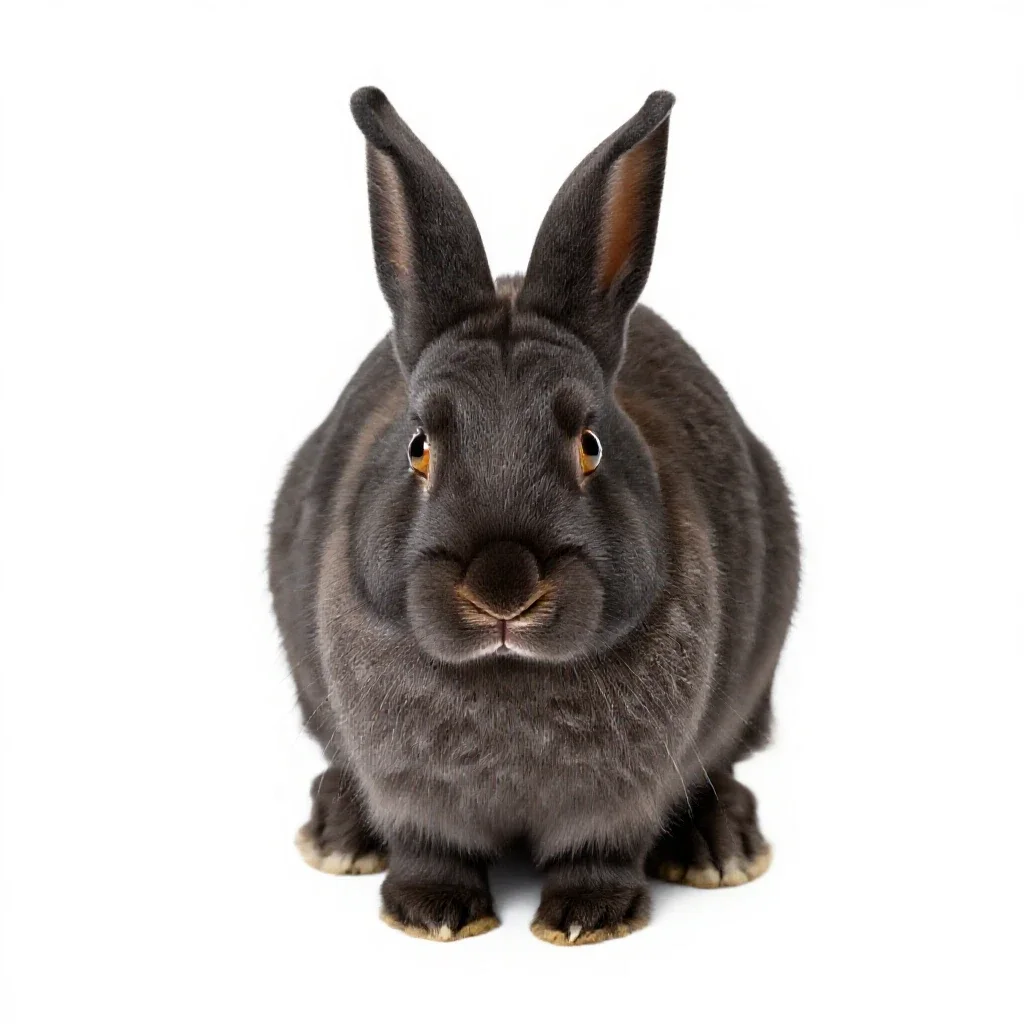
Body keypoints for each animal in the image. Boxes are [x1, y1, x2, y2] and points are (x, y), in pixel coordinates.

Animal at [269, 86, 800, 945]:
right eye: (418, 446)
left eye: (590, 443)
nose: (502, 587)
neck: (508, 673)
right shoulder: (410, 788)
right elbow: (430, 843)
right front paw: (432, 913)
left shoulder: (621, 794)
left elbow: (600, 849)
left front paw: (588, 918)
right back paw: (340, 837)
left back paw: (720, 849)